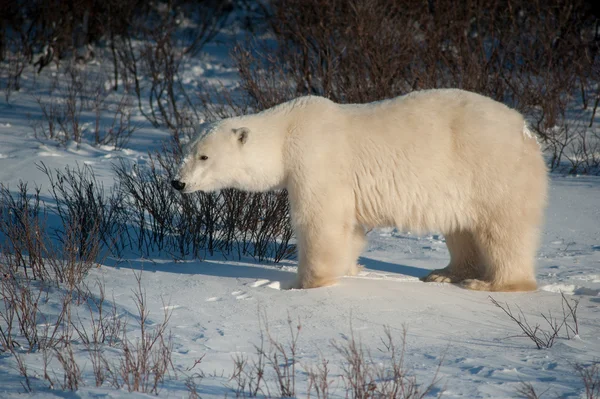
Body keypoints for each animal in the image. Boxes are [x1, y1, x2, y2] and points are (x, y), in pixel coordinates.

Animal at [171, 89, 548, 292]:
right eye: (187, 149)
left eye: (204, 156)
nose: (178, 182)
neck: (287, 131)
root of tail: (527, 131)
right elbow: (348, 228)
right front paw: (352, 268)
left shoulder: (316, 159)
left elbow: (319, 221)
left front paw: (304, 284)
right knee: (462, 228)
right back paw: (444, 274)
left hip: (490, 169)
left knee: (503, 229)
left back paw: (492, 283)